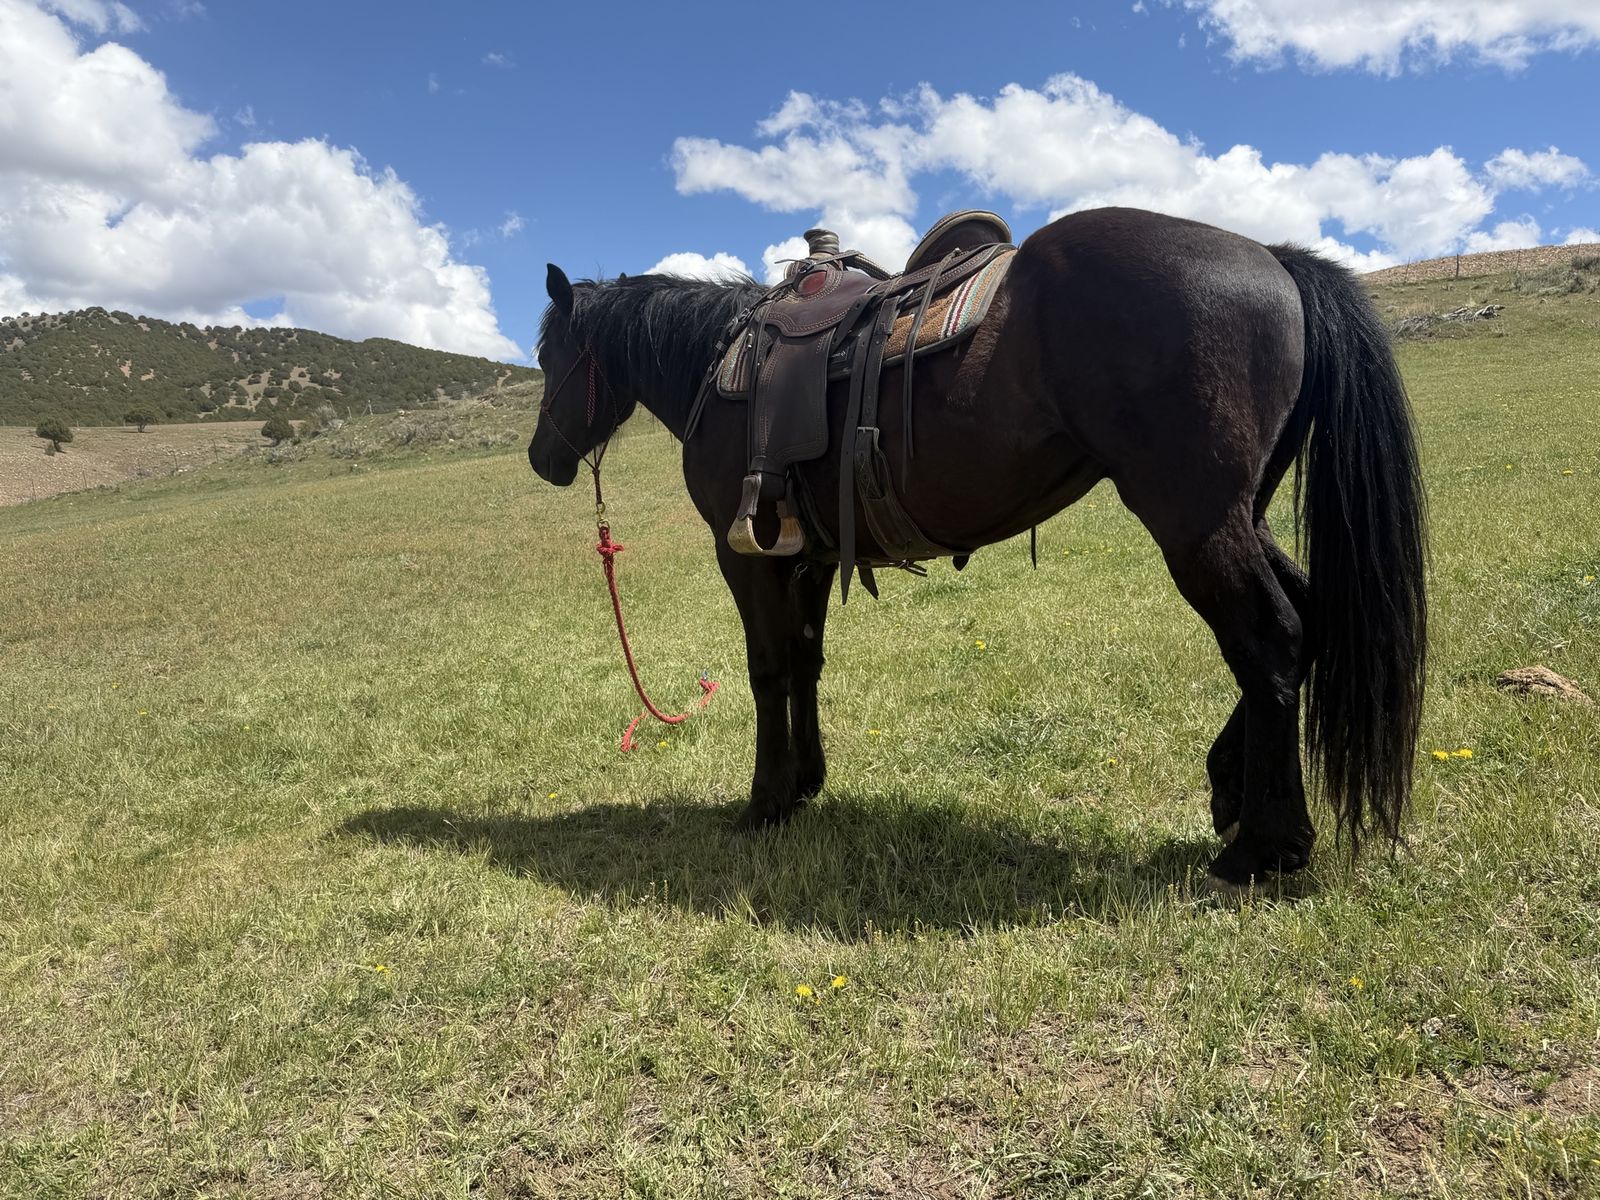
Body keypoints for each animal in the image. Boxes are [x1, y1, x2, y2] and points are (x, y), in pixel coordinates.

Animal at [527, 206, 1427, 887]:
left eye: (546, 354)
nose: (541, 458)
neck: (724, 366)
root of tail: (1271, 258)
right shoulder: (805, 558)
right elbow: (808, 663)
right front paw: (807, 785)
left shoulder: (745, 555)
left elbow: (768, 670)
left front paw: (765, 801)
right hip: (1244, 515)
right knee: (1307, 619)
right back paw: (1231, 795)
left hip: (1195, 522)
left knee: (1270, 640)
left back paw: (1266, 849)